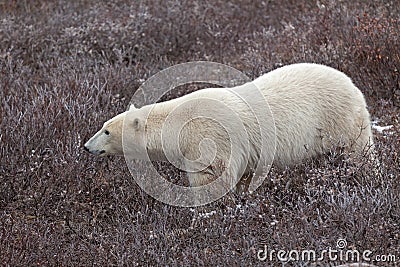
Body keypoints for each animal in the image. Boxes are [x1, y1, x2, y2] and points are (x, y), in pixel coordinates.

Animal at [83, 62, 374, 193]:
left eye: (106, 130)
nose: (86, 146)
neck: (178, 124)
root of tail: (350, 82)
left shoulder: (208, 138)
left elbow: (211, 178)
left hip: (339, 119)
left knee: (357, 151)